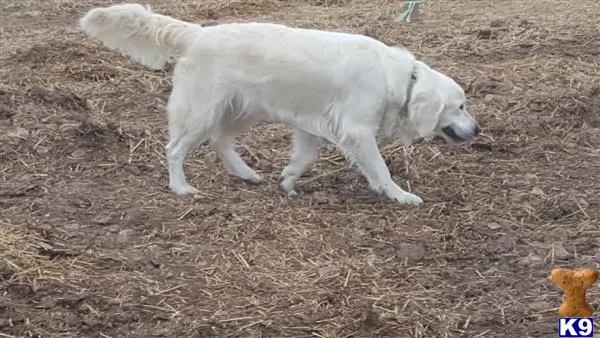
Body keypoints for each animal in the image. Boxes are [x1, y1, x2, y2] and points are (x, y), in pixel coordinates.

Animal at [81, 2, 482, 205]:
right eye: (460, 106)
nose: (477, 130)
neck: (396, 78)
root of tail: (198, 33)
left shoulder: (311, 128)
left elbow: (303, 159)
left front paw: (288, 181)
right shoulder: (356, 132)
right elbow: (381, 169)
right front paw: (400, 195)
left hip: (244, 109)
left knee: (221, 141)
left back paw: (245, 173)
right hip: (201, 112)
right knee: (175, 148)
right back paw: (180, 187)